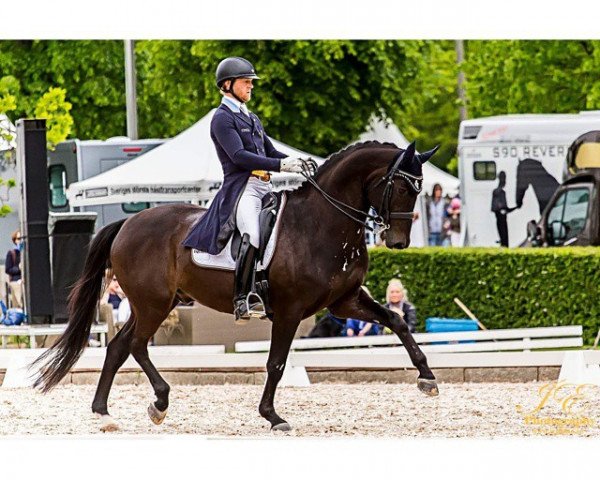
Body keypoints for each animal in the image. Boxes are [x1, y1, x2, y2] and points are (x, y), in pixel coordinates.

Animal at [30, 141, 438, 434]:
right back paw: (159, 402)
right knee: (135, 345)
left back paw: (104, 413)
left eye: (418, 190)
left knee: (118, 347)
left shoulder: (345, 301)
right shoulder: (290, 310)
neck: (323, 224)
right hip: (153, 304)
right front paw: (272, 416)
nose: (398, 241)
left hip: (156, 303)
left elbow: (398, 321)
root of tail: (127, 224)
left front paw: (427, 378)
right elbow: (276, 363)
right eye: (400, 187)